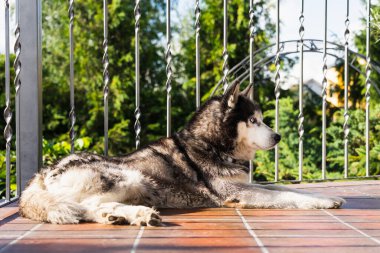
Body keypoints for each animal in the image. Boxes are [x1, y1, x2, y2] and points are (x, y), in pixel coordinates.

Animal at [20, 82, 344, 225]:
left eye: (262, 119)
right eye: (253, 120)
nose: (277, 137)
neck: (212, 144)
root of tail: (40, 175)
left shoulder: (248, 184)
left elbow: (287, 188)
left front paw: (328, 196)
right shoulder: (237, 193)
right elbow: (289, 196)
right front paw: (323, 201)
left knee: (90, 209)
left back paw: (127, 216)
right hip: (127, 176)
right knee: (87, 206)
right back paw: (132, 215)